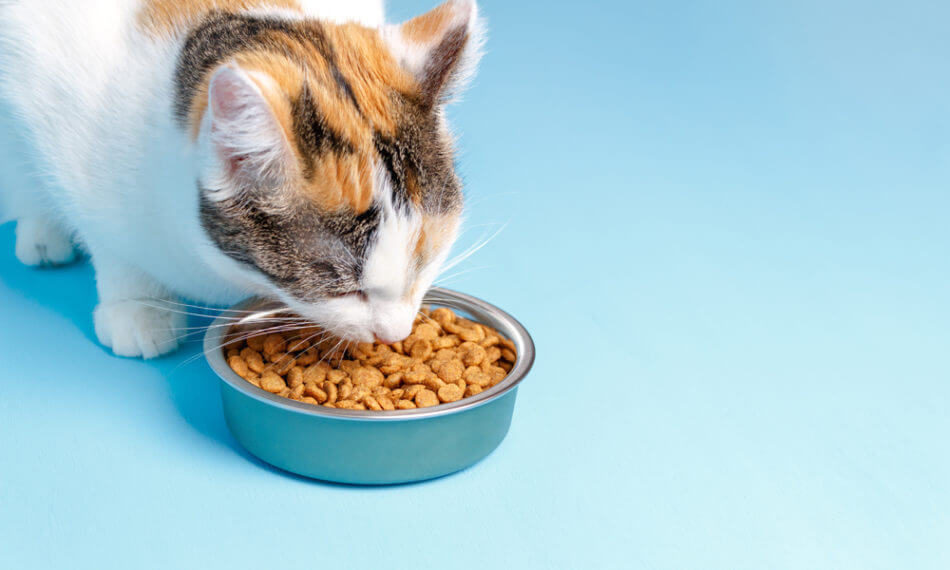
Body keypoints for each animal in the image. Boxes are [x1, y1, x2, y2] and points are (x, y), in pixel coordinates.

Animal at [0, 0, 484, 356]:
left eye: (425, 258)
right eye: (342, 287)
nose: (395, 334)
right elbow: (108, 240)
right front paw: (136, 306)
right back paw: (41, 232)